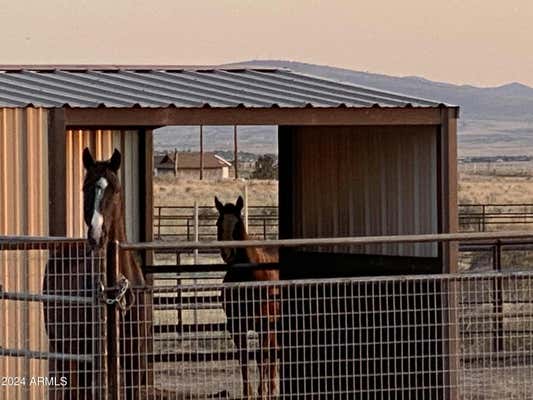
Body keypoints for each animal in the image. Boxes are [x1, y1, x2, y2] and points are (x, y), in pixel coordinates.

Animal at [214, 198, 278, 400]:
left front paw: (262, 393)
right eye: (219, 223)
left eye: (238, 225)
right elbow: (243, 357)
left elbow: (261, 357)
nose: (227, 254)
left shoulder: (266, 325)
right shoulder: (236, 325)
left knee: (272, 354)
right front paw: (247, 393)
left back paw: (272, 390)